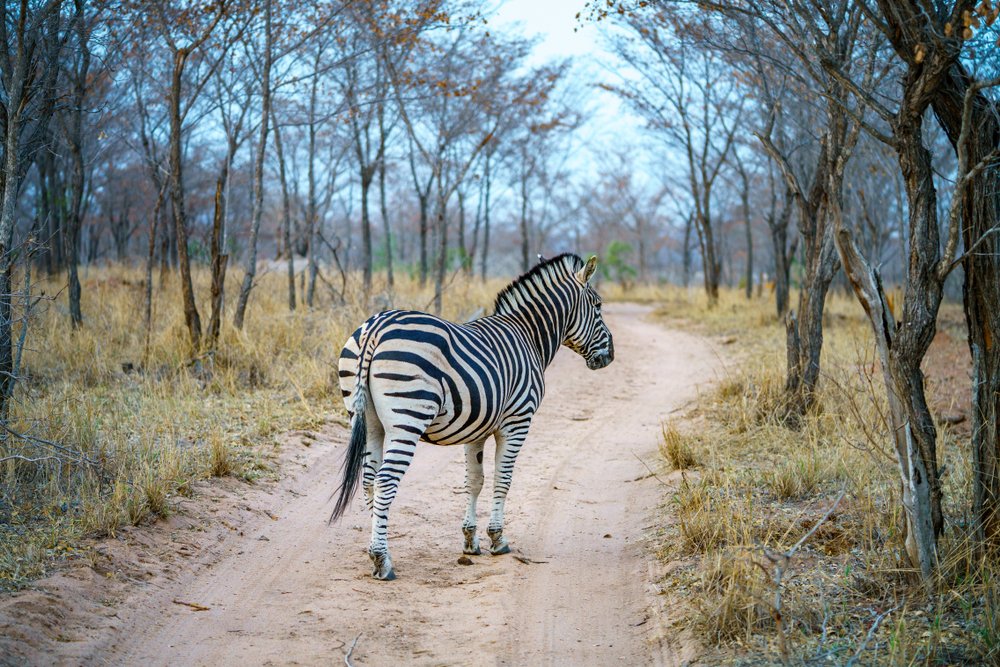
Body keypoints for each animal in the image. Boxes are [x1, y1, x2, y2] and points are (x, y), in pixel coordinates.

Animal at [332, 253, 614, 580]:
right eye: (598, 305)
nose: (610, 356)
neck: (528, 336)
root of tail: (375, 327)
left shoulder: (476, 427)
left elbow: (474, 481)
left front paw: (470, 540)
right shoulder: (517, 422)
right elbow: (503, 478)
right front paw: (498, 539)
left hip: (366, 420)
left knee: (369, 479)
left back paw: (377, 549)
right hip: (408, 418)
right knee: (386, 480)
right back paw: (382, 560)